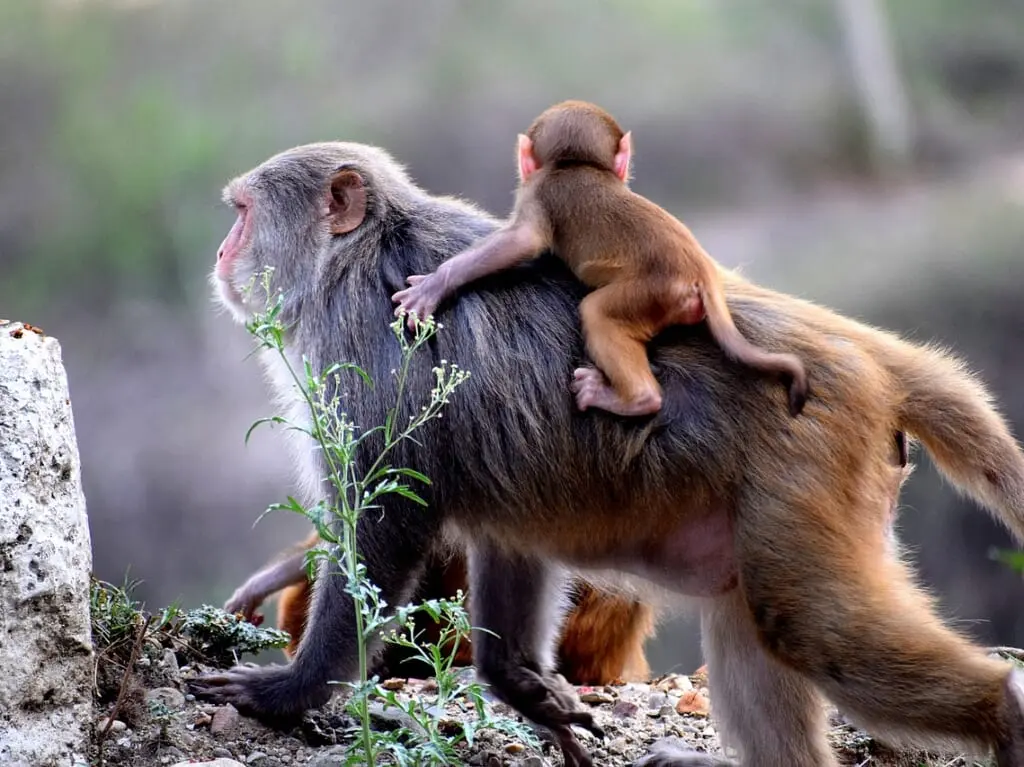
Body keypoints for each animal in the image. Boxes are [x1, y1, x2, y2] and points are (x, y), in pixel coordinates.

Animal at [391, 101, 806, 419]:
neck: (575, 165)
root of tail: (700, 273)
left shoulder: (538, 191)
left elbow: (522, 241)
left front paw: (435, 284)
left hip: (652, 294)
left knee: (598, 313)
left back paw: (634, 400)